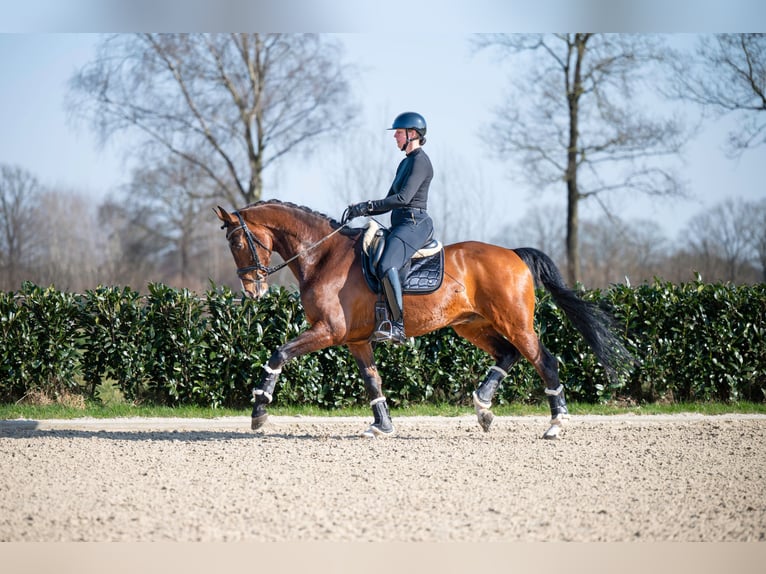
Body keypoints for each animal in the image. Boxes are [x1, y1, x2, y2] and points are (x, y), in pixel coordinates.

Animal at [214, 200, 631, 439]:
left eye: (237, 241)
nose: (252, 291)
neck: (323, 256)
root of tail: (513, 254)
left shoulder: (328, 331)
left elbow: (279, 354)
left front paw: (259, 411)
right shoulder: (355, 340)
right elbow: (372, 380)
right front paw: (382, 425)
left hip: (513, 322)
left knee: (545, 360)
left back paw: (555, 424)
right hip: (472, 324)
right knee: (507, 355)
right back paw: (483, 408)